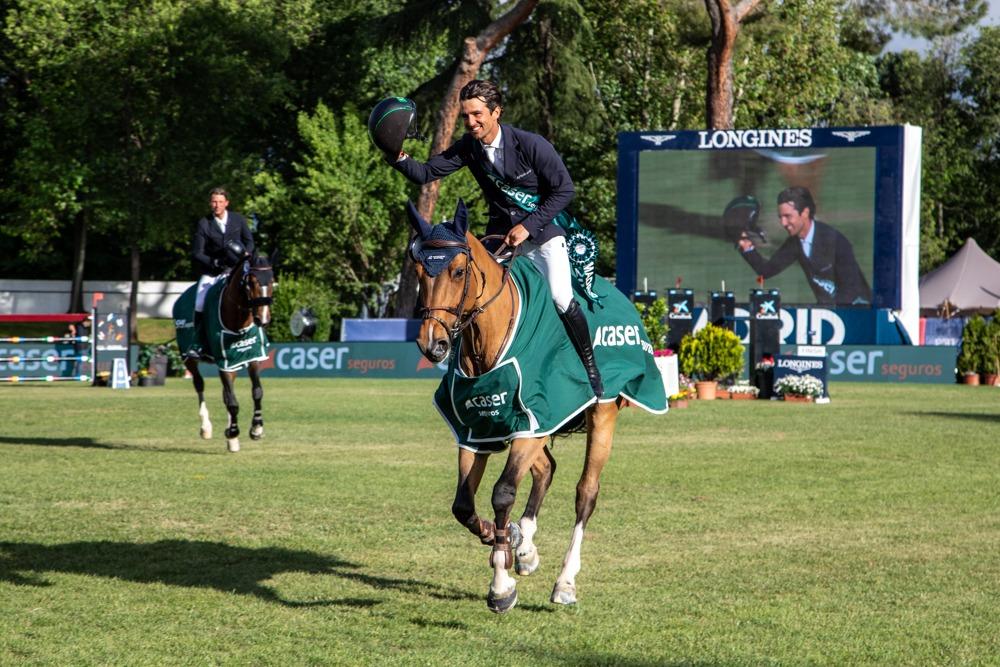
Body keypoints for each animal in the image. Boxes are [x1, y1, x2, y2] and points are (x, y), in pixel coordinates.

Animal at [184, 254, 276, 454]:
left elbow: (257, 392)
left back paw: (230, 439)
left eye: (272, 280)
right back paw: (206, 428)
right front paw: (233, 432)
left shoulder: (252, 358)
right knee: (199, 384)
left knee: (226, 394)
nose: (263, 319)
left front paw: (256, 429)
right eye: (251, 282)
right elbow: (233, 403)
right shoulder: (224, 362)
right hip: (188, 359)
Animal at [406, 200, 624, 616]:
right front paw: (507, 542)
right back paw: (525, 547)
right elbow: (464, 505)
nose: (432, 344)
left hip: (600, 414)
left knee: (586, 492)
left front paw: (500, 585)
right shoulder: (477, 430)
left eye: (458, 271)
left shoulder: (531, 421)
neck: (483, 340)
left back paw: (565, 581)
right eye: (418, 272)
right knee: (546, 469)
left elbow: (503, 493)